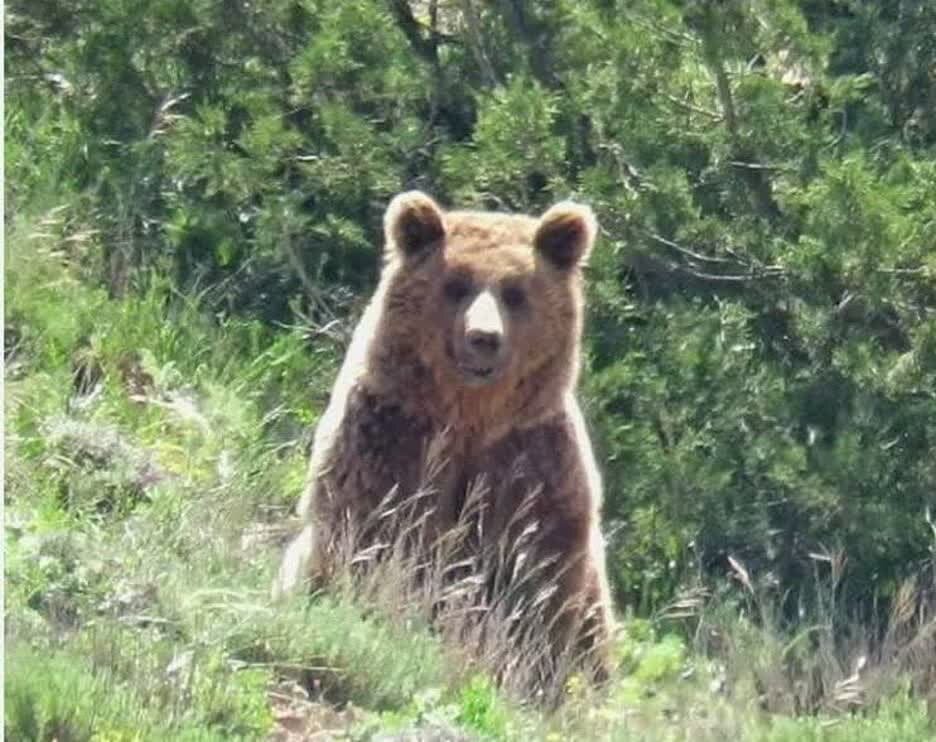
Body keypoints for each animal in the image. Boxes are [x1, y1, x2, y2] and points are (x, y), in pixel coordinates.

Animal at [274, 190, 616, 692]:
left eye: (515, 292)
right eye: (456, 284)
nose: (484, 337)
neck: (468, 415)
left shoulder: (532, 464)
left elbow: (536, 575)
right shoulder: (390, 442)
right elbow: (377, 535)